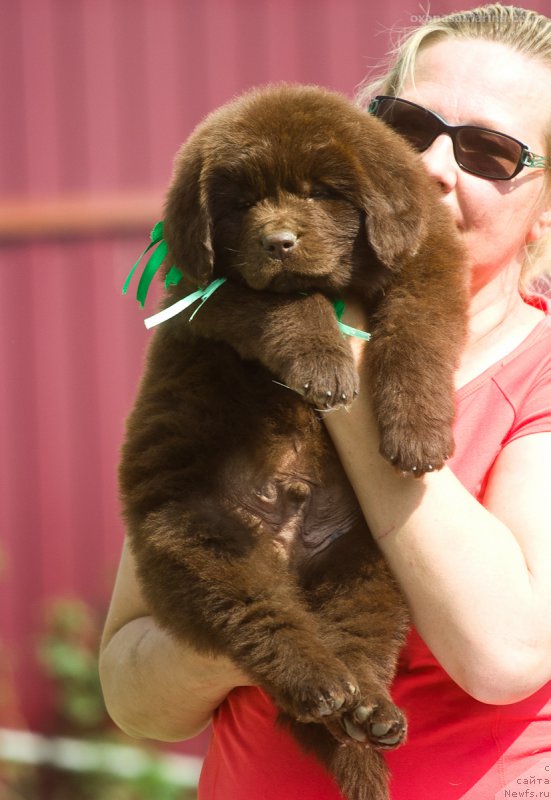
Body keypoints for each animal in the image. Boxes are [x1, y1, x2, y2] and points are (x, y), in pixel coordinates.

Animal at [119, 84, 470, 796]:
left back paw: (367, 712)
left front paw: (417, 434)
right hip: (200, 537)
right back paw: (318, 682)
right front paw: (323, 364)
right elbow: (287, 305)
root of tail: (286, 553)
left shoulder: (428, 260)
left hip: (366, 564)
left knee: (360, 639)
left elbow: (416, 334)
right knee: (261, 622)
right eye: (242, 202)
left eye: (319, 191)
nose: (277, 242)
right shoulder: (210, 290)